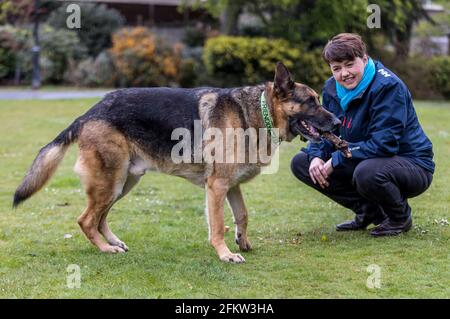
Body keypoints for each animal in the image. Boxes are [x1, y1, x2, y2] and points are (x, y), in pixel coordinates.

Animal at [12, 62, 340, 262]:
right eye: (311, 102)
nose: (338, 122)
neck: (257, 113)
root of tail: (89, 112)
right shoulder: (217, 186)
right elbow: (218, 225)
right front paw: (225, 254)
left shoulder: (231, 186)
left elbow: (243, 215)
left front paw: (243, 242)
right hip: (111, 182)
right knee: (85, 219)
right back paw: (106, 249)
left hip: (124, 183)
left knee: (99, 217)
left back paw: (114, 242)